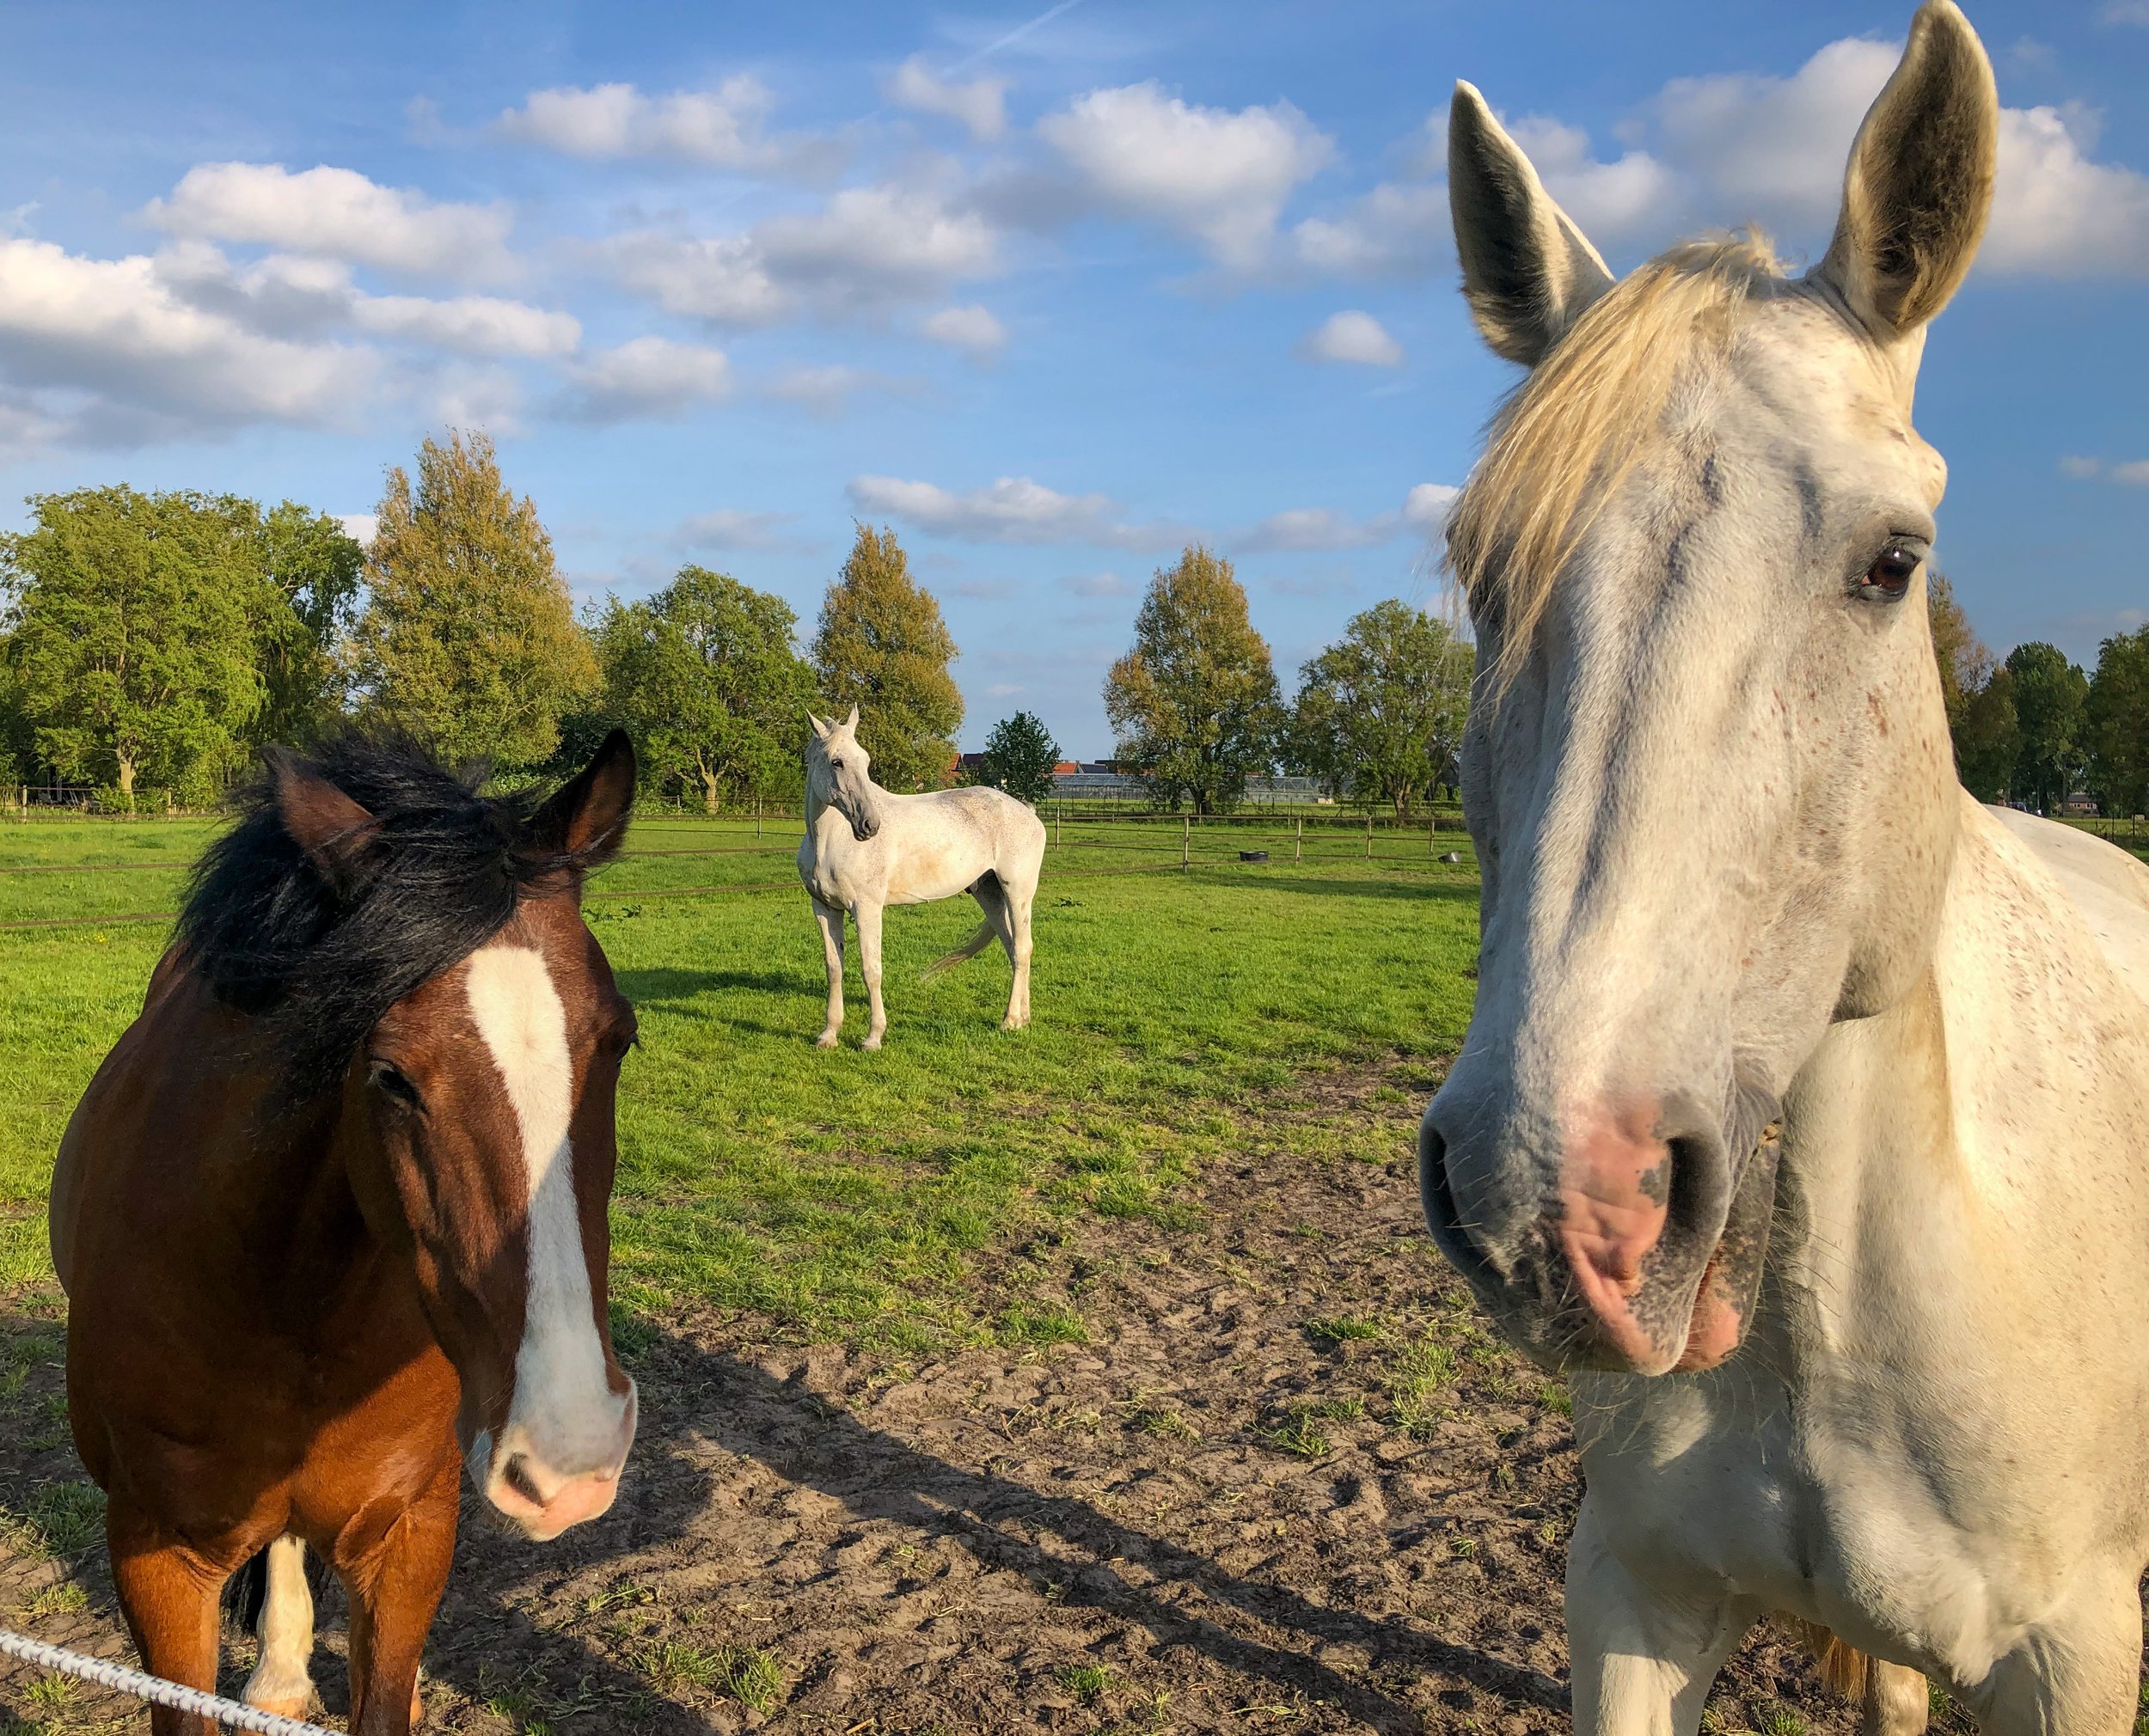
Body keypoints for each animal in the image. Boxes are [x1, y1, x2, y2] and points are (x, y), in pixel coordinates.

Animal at [796, 706, 1046, 1050]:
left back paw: (1010, 1021)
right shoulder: (824, 908)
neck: (830, 840)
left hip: (1018, 893)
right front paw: (829, 1034)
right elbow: (834, 968)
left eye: (865, 759)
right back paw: (1023, 1018)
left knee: (1023, 949)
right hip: (990, 895)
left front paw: (873, 1037)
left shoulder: (867, 908)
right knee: (1013, 950)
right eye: (837, 762)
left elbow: (871, 969)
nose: (870, 825)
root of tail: (1028, 812)